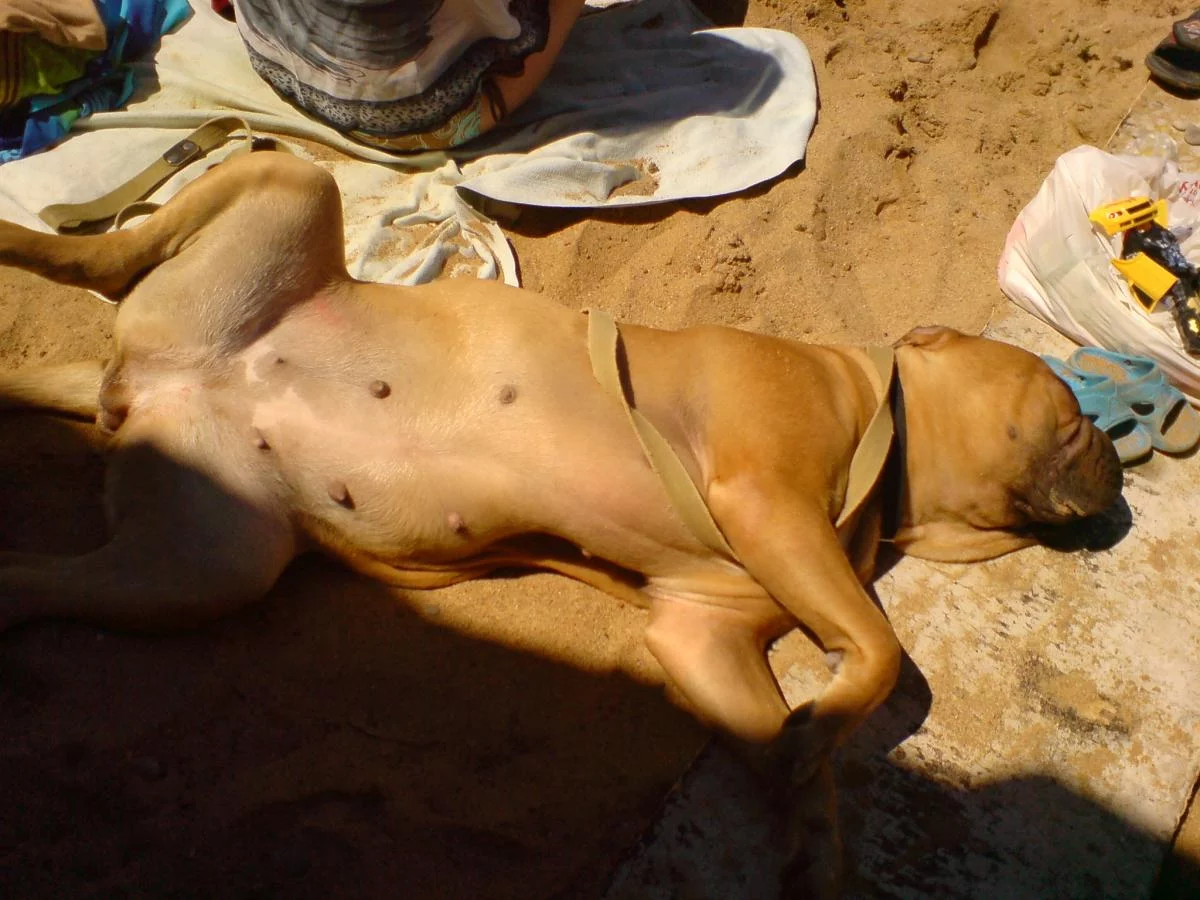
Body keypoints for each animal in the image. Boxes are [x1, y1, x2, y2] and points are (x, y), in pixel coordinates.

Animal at [0, 151, 1121, 896]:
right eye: (1070, 411)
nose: (1117, 461)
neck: (877, 417)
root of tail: (155, 381)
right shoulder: (769, 504)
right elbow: (883, 652)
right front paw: (832, 728)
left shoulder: (703, 635)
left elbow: (799, 748)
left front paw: (813, 827)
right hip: (288, 186)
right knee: (103, 256)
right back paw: (27, 237)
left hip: (195, 565)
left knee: (44, 576)